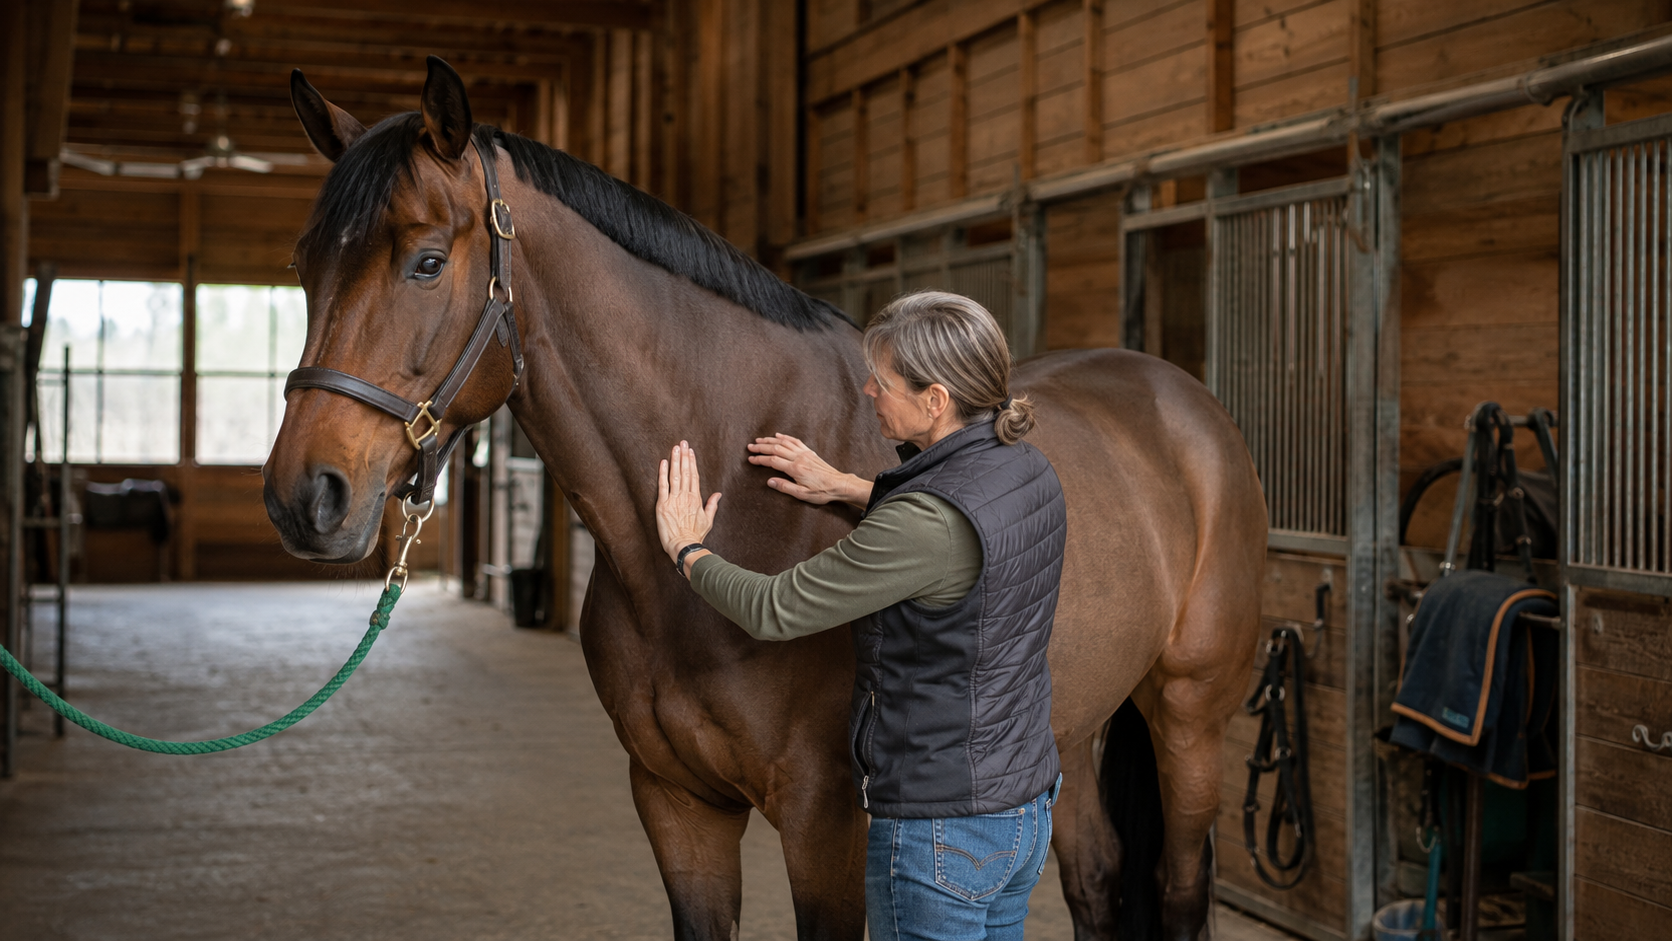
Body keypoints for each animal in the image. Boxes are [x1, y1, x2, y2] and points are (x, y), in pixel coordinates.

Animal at [264, 57, 1267, 941]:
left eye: (428, 262)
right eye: (306, 264)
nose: (303, 497)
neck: (740, 496)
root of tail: (1185, 399)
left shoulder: (829, 821)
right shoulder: (676, 803)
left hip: (1189, 718)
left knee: (1179, 889)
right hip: (1070, 724)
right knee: (1095, 876)